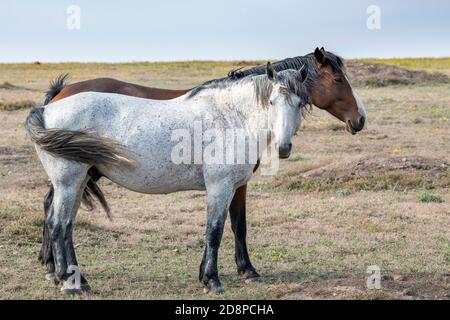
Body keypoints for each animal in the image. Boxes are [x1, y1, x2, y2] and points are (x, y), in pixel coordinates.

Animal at [40, 47, 368, 288]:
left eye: (300, 103)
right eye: (338, 80)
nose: (360, 118)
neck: (233, 117)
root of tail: (49, 107)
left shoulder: (236, 185)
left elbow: (236, 226)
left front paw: (242, 271)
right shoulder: (221, 186)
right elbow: (216, 230)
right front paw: (213, 279)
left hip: (80, 180)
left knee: (64, 222)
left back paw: (66, 274)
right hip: (72, 180)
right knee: (58, 222)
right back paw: (67, 279)